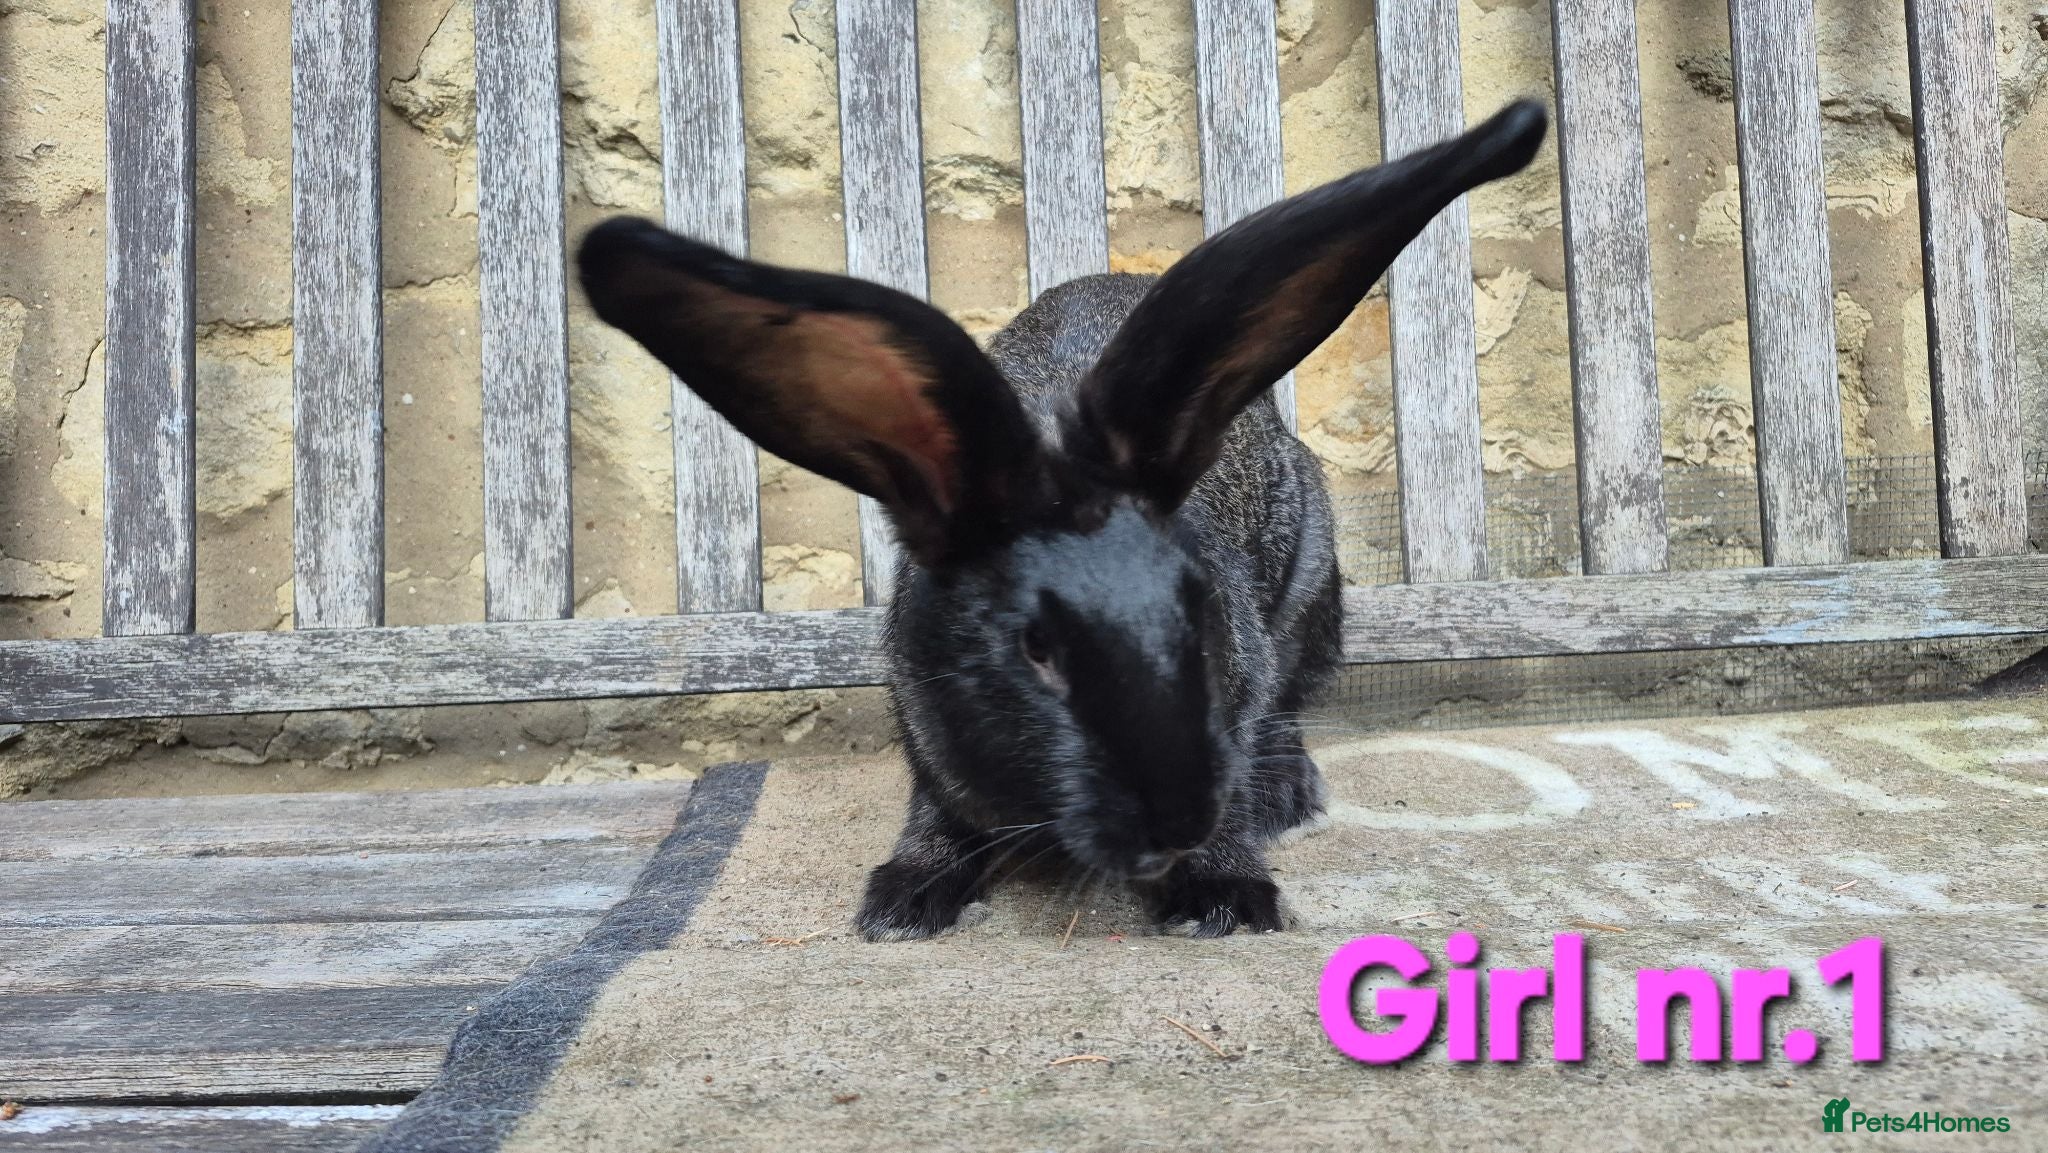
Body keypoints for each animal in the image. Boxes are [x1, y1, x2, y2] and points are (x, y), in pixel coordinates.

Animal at [577, 99, 1547, 940]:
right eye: (1033, 650)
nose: (1175, 819)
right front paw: (905, 898)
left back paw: (1289, 795)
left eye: (1201, 620)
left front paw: (1225, 896)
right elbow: (934, 813)